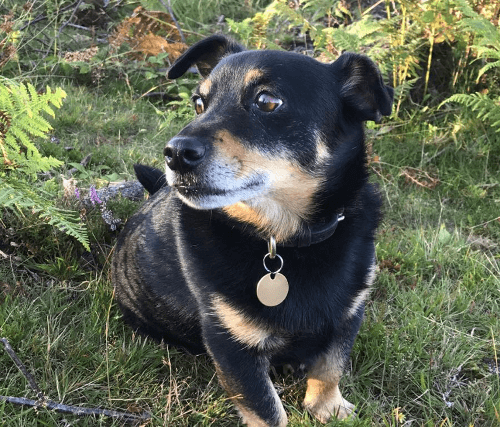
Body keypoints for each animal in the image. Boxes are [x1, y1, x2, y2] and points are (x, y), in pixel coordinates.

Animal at [113, 34, 394, 427]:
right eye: (199, 103)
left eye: (267, 101)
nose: (175, 153)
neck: (285, 241)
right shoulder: (231, 343)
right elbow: (266, 407)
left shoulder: (348, 316)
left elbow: (330, 366)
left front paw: (329, 407)